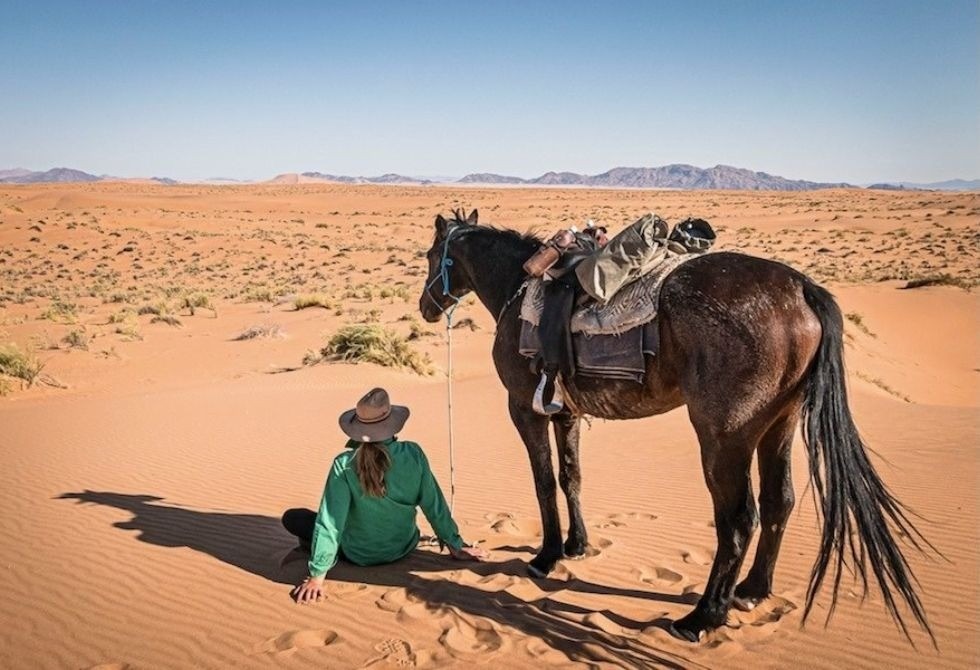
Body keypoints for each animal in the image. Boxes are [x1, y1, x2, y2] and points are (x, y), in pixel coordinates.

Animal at [418, 208, 933, 644]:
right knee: (779, 500)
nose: (426, 306)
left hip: (724, 437)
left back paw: (702, 617)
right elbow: (571, 476)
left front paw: (545, 558)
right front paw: (576, 545)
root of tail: (803, 289)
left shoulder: (525, 408)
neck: (518, 289)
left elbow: (544, 480)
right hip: (779, 424)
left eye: (429, 256)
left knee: (739, 518)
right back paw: (751, 590)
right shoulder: (566, 411)